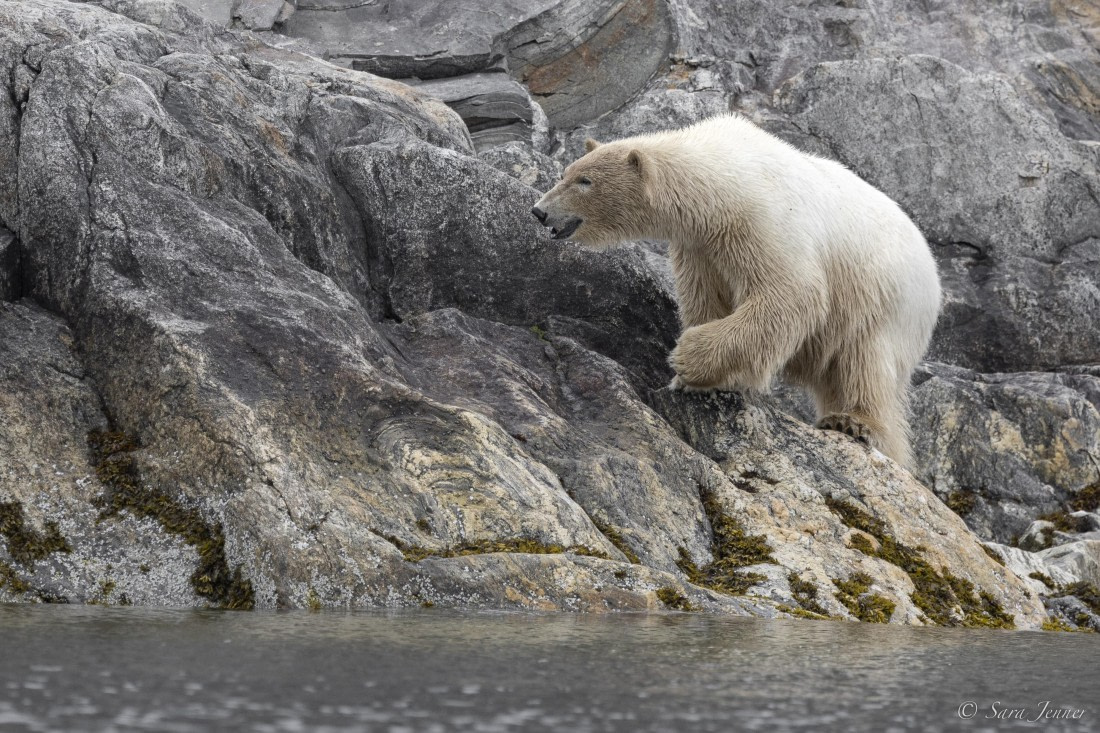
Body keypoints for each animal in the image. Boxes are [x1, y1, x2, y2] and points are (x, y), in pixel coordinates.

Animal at [531, 114, 941, 467]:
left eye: (585, 181)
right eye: (565, 172)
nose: (539, 210)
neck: (720, 178)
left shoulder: (761, 220)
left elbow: (789, 294)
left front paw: (686, 359)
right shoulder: (701, 243)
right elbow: (705, 297)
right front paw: (696, 379)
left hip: (885, 301)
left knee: (868, 363)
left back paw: (856, 423)